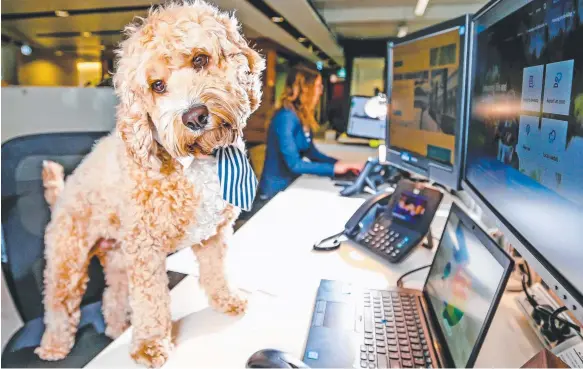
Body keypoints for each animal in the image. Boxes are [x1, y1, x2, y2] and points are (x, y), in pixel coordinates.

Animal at [33, 1, 266, 366]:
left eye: (200, 59)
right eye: (157, 85)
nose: (194, 116)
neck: (197, 161)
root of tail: (62, 194)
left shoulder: (213, 235)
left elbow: (216, 271)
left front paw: (226, 299)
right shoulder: (147, 251)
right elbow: (152, 302)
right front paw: (151, 345)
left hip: (118, 257)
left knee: (113, 297)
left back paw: (117, 327)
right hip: (68, 260)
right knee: (59, 305)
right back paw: (54, 347)